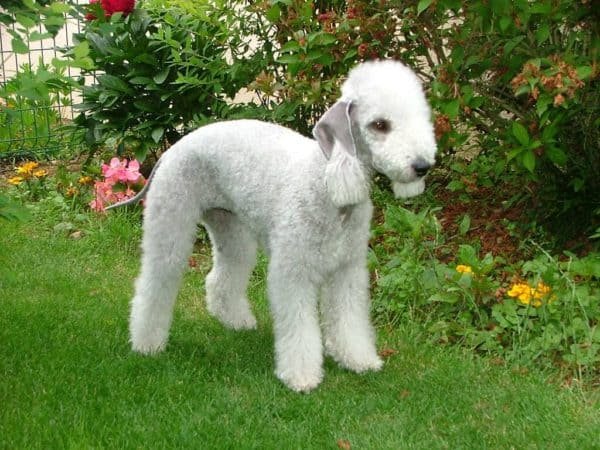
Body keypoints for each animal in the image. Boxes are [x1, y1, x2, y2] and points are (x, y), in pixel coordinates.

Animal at [120, 59, 436, 390]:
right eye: (380, 125)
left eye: (420, 117)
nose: (422, 166)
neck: (326, 185)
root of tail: (175, 146)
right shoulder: (292, 271)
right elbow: (299, 327)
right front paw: (301, 376)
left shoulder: (347, 270)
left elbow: (349, 320)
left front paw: (358, 359)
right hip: (171, 221)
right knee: (154, 283)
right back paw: (147, 343)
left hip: (231, 228)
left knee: (221, 278)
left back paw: (235, 321)